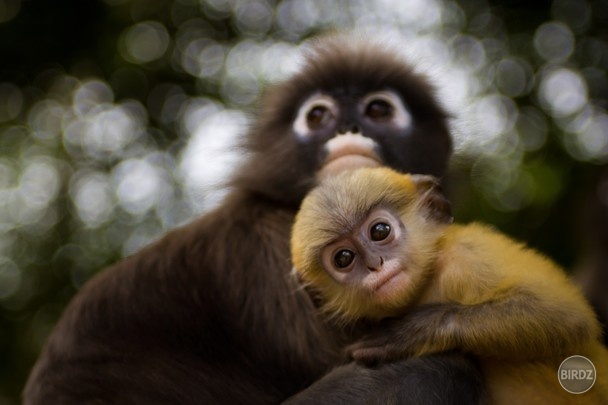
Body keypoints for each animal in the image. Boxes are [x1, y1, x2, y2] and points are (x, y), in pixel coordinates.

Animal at [290, 167, 608, 404]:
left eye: (379, 230)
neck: (428, 280)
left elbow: (564, 315)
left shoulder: (468, 258)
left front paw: (412, 331)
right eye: (344, 258)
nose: (374, 264)